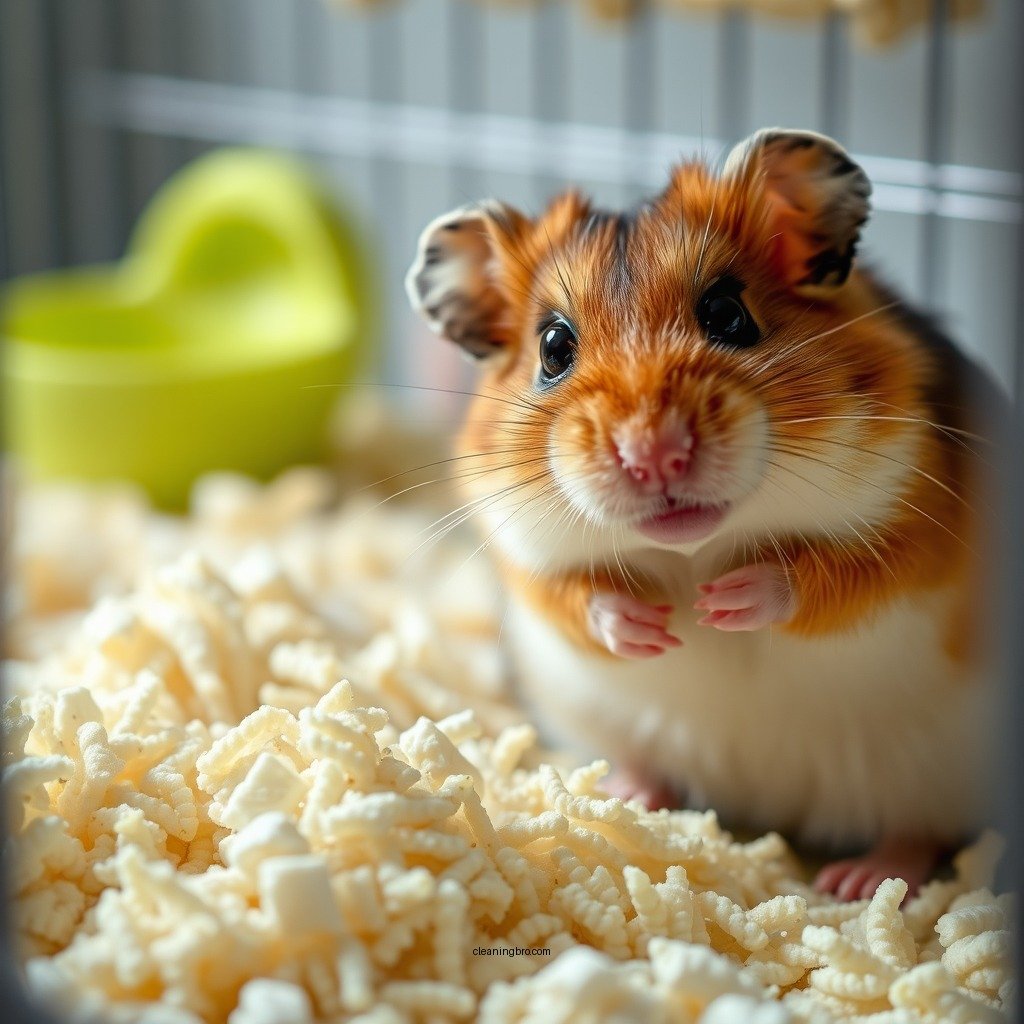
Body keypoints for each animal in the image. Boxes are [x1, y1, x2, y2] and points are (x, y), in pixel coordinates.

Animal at [405, 128, 1004, 901]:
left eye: (727, 314)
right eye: (553, 348)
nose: (652, 454)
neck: (696, 549)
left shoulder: (922, 527)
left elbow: (829, 576)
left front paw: (722, 605)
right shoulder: (524, 560)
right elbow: (580, 598)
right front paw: (657, 627)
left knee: (918, 834)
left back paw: (856, 881)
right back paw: (627, 796)